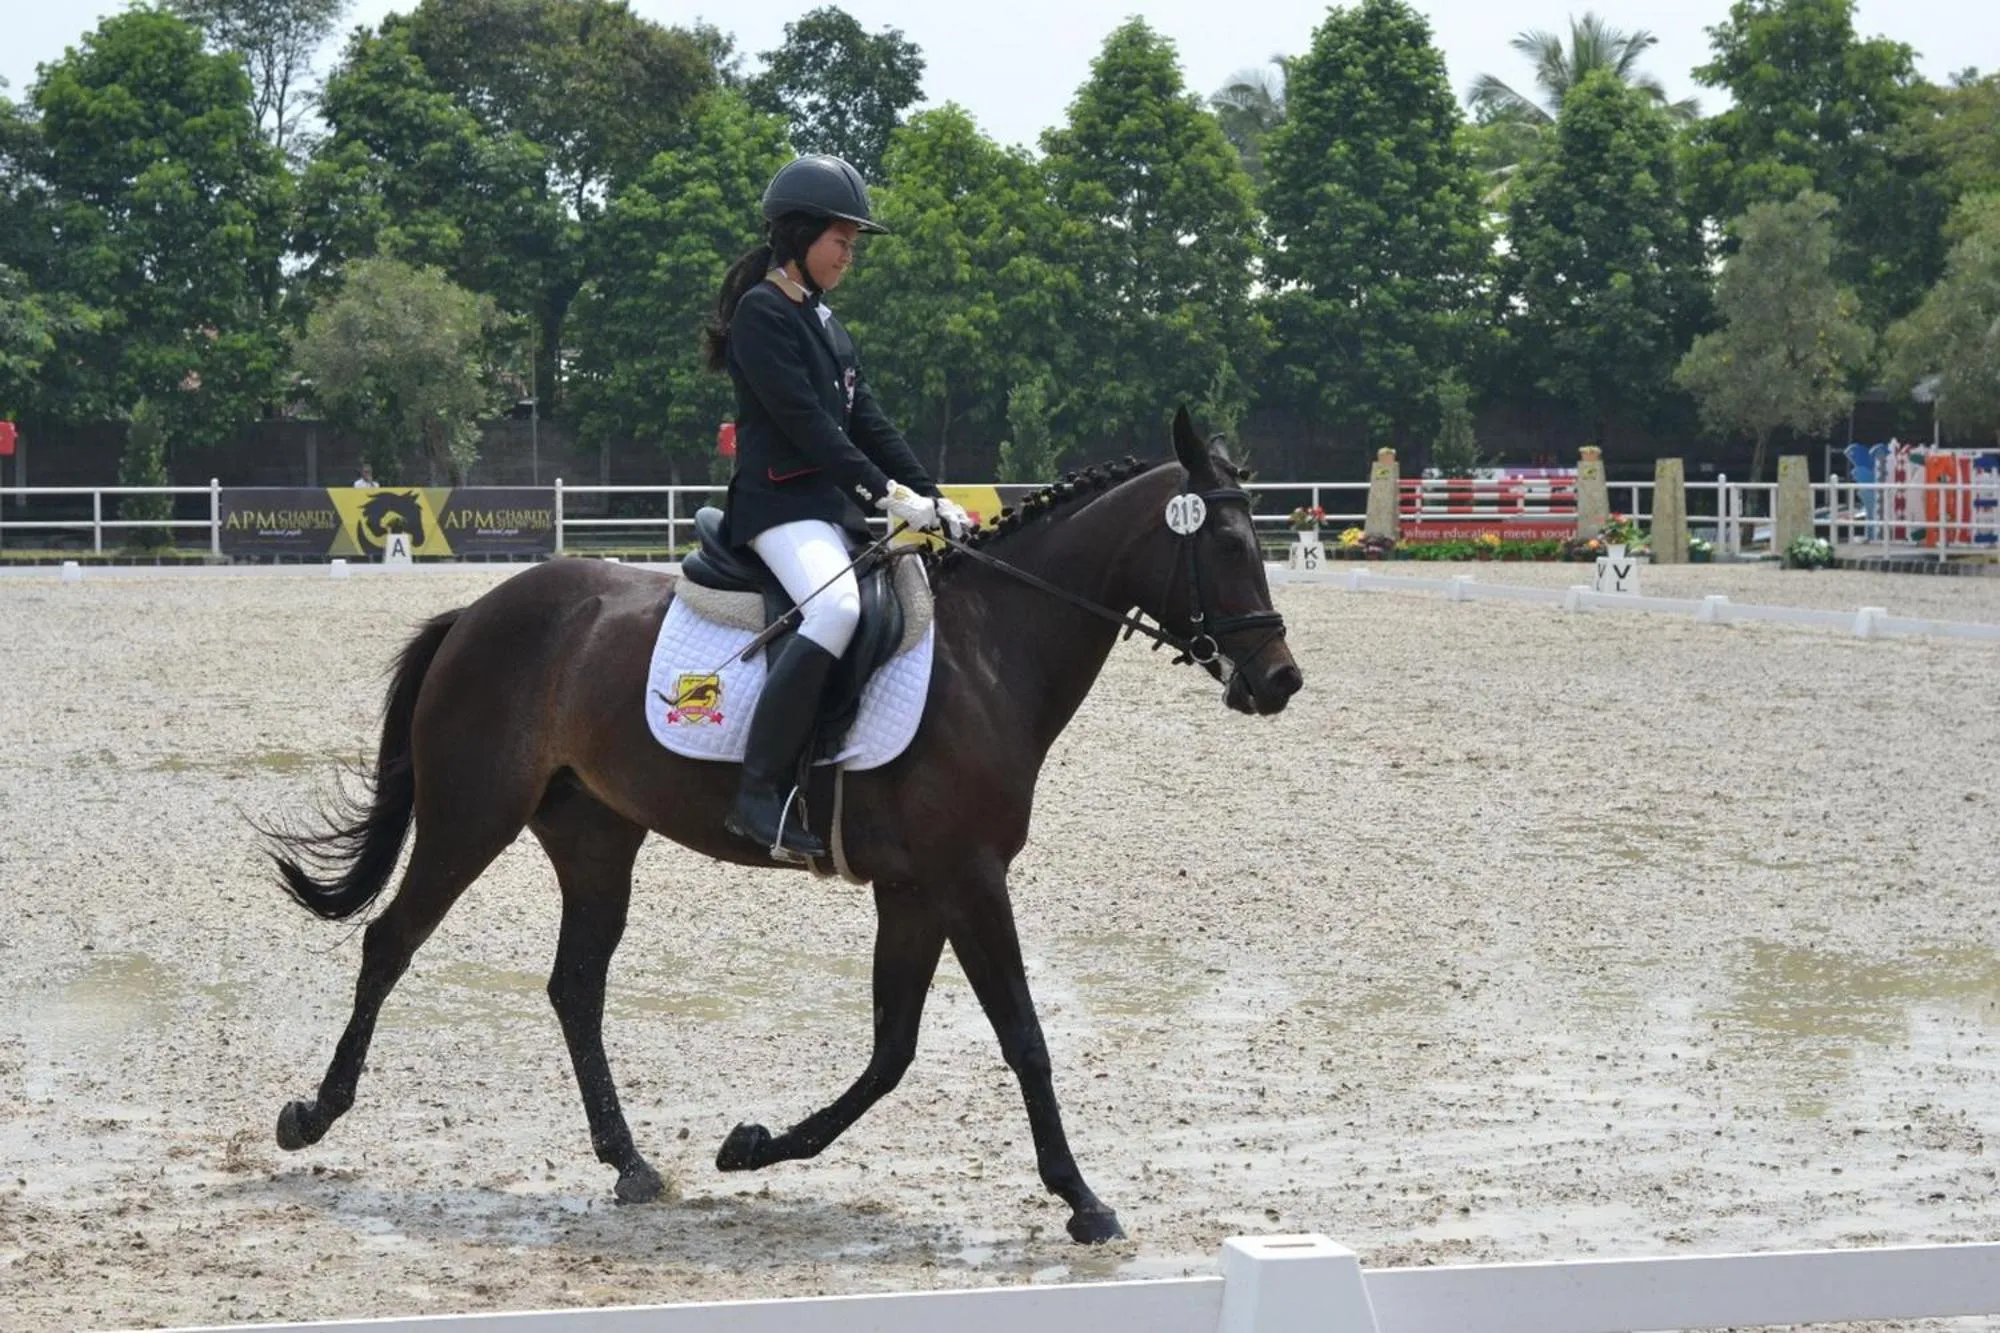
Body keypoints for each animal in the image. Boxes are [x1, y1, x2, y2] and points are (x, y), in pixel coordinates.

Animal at [265, 407, 1302, 1245]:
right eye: (1225, 545)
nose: (1280, 681)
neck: (989, 653)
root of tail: (479, 609)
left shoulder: (916, 890)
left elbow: (891, 1051)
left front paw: (753, 1144)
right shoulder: (968, 879)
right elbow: (1022, 1036)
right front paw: (1084, 1200)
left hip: (596, 839)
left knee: (575, 986)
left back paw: (630, 1162)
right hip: (470, 816)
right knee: (392, 942)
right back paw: (313, 1114)